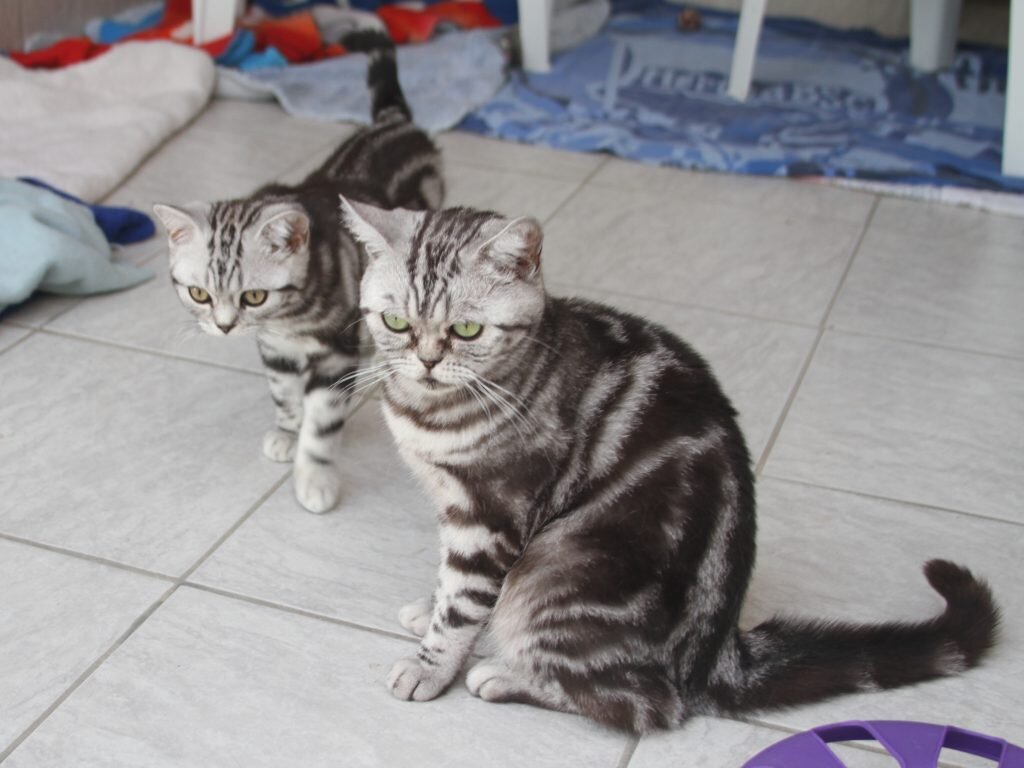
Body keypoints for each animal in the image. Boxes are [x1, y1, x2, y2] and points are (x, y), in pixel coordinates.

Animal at [153, 31, 443, 514]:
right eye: (199, 294)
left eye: (253, 296)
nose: (224, 326)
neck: (289, 319)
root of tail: (392, 121)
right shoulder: (277, 350)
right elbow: (284, 394)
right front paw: (287, 431)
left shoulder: (336, 352)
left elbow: (322, 422)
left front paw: (314, 476)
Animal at [339, 197, 1000, 733]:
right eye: (396, 322)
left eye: (468, 329)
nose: (427, 360)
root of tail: (715, 656)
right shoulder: (456, 510)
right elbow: (452, 586)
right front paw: (431, 607)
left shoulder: (493, 514)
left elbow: (463, 601)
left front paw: (432, 664)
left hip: (559, 572)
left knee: (645, 704)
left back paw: (505, 677)